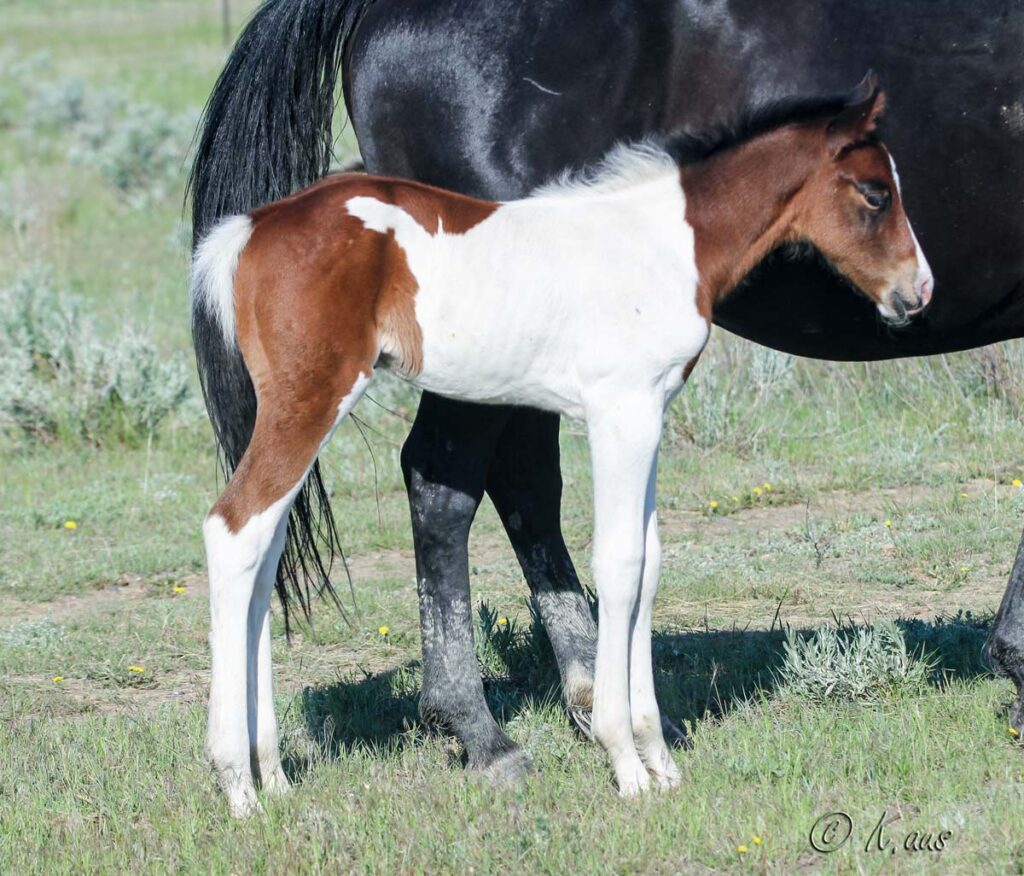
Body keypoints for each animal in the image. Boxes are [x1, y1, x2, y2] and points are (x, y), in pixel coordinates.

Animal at [189, 0, 1024, 784]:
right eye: (876, 193)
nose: (918, 291)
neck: (659, 239)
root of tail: (250, 231)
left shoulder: (646, 413)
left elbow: (646, 565)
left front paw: (654, 750)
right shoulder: (621, 411)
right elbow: (619, 564)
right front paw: (628, 762)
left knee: (276, 544)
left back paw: (276, 772)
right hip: (322, 401)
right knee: (277, 523)